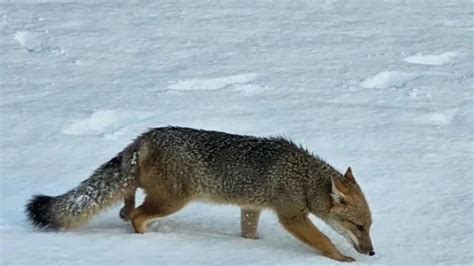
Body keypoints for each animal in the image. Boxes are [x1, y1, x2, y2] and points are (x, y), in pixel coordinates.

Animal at [25, 127, 376, 262]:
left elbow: (249, 233)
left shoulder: (250, 208)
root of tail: (145, 137)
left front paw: (252, 245)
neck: (302, 177)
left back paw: (125, 210)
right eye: (359, 227)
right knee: (138, 214)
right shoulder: (292, 216)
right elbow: (324, 240)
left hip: (154, 191)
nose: (371, 252)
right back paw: (145, 238)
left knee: (129, 195)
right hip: (172, 201)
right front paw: (341, 258)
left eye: (370, 227)